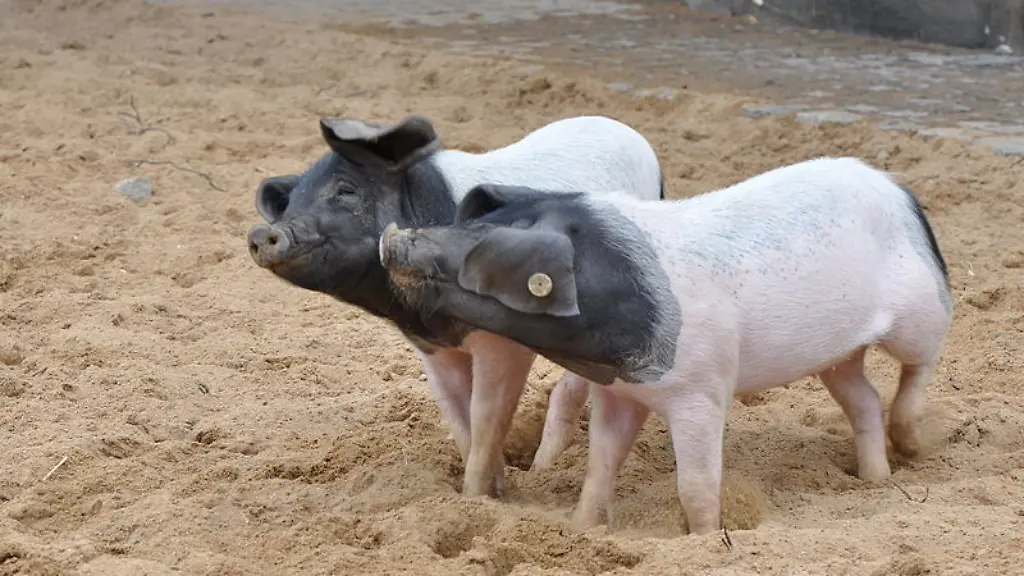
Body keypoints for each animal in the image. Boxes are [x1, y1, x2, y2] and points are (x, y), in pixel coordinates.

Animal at [245, 114, 665, 498]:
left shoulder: (504, 339)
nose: (264, 232)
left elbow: (486, 418)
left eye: (346, 190)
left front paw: (481, 498)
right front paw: (484, 492)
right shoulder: (432, 348)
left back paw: (544, 468)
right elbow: (457, 416)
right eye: (292, 201)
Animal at [377, 156, 953, 534]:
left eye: (481, 251)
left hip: (921, 313)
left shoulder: (702, 390)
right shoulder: (619, 393)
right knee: (865, 399)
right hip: (837, 356)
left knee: (921, 362)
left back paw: (911, 444)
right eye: (474, 222)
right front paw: (582, 528)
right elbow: (600, 465)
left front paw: (706, 540)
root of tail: (902, 193)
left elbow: (695, 485)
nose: (394, 235)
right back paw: (874, 479)